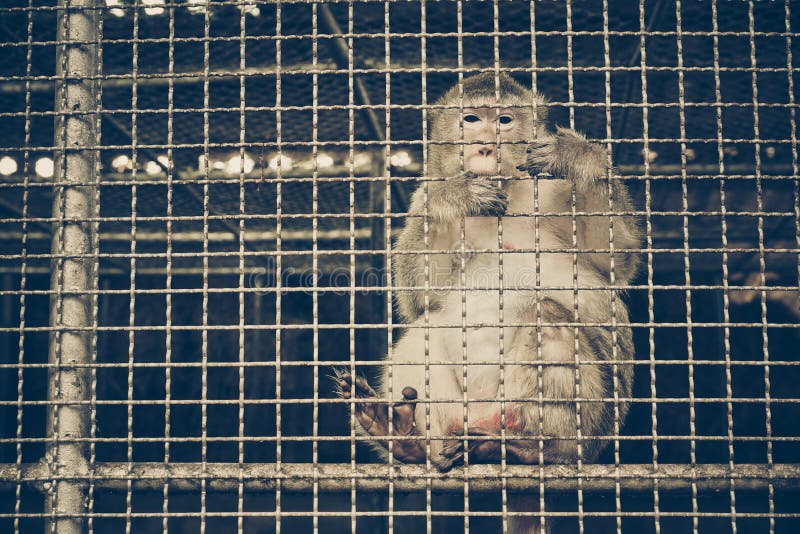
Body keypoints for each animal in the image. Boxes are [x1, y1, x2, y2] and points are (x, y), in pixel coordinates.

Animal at [335, 72, 640, 533]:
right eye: (472, 119)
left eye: (505, 120)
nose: (484, 145)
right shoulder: (423, 197)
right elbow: (420, 292)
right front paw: (458, 197)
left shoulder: (554, 187)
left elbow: (613, 260)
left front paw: (578, 156)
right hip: (458, 419)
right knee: (426, 329)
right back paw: (406, 436)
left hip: (595, 423)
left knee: (548, 318)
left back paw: (538, 446)